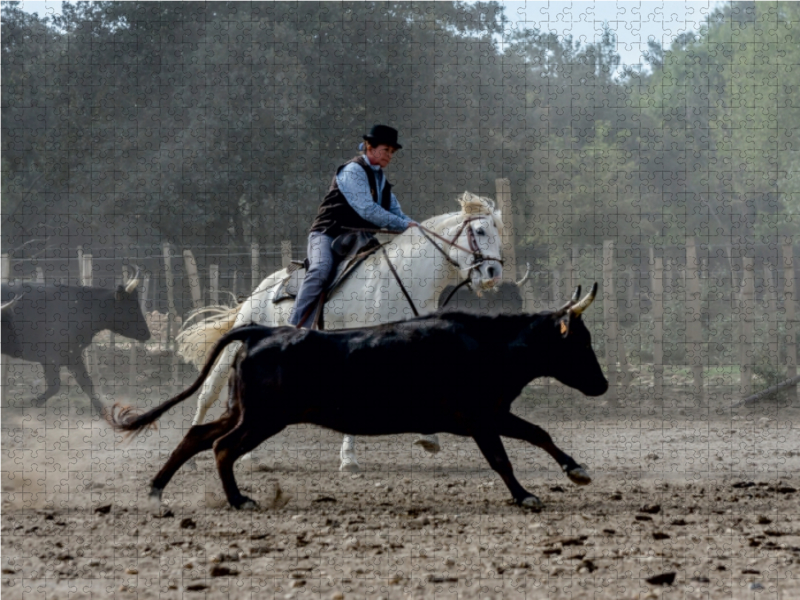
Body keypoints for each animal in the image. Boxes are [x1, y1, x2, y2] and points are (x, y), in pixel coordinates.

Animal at [1, 270, 150, 414]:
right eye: (132, 307)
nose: (147, 334)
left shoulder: (73, 355)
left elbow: (87, 384)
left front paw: (103, 412)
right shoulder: (51, 358)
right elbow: (55, 386)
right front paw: (31, 403)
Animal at [109, 284, 604, 508]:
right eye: (580, 343)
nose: (602, 385)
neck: (487, 344)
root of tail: (262, 331)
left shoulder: (491, 414)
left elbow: (538, 433)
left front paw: (576, 470)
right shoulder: (480, 418)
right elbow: (503, 458)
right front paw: (525, 495)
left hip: (243, 411)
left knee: (197, 435)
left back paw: (156, 489)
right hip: (262, 419)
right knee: (221, 447)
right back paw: (238, 499)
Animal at [177, 191, 504, 468]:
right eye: (479, 231)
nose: (493, 272)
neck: (404, 280)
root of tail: (260, 291)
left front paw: (429, 438)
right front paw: (348, 458)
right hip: (233, 349)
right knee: (207, 394)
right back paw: (192, 456)